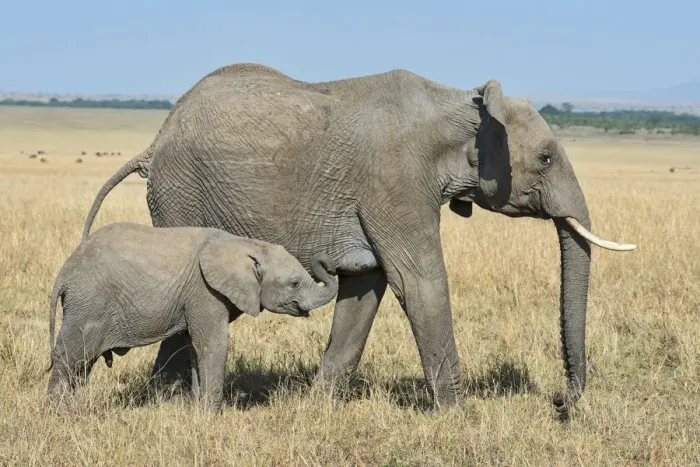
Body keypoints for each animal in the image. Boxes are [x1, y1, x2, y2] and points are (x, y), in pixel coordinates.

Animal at [47, 222, 338, 411]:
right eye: (295, 283)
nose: (327, 260)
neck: (246, 244)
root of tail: (65, 271)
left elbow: (194, 347)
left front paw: (197, 410)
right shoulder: (204, 291)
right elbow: (212, 344)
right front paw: (212, 415)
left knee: (83, 362)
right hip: (89, 303)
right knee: (71, 355)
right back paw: (59, 412)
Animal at [80, 63, 636, 418]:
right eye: (545, 158)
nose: (560, 403)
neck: (461, 104)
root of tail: (155, 140)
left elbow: (367, 286)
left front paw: (317, 407)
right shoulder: (394, 179)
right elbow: (419, 282)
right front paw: (461, 418)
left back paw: (165, 401)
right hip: (182, 196)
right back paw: (166, 402)